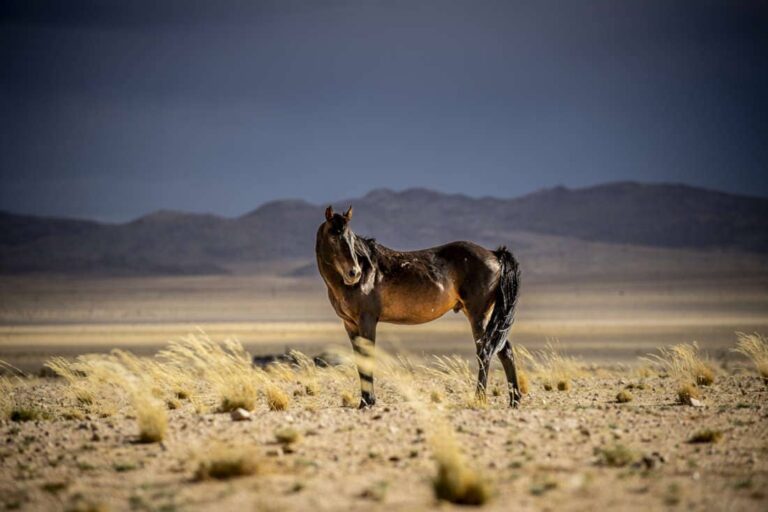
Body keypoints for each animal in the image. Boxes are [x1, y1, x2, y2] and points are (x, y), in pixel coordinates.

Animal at [316, 205, 522, 408]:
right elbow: (360, 360)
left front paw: (368, 401)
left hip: (478, 315)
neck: (368, 272)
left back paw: (479, 398)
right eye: (334, 236)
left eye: (350, 237)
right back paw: (514, 400)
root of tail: (494, 254)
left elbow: (367, 357)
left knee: (485, 351)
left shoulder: (367, 320)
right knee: (504, 350)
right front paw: (365, 400)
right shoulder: (350, 324)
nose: (354, 273)